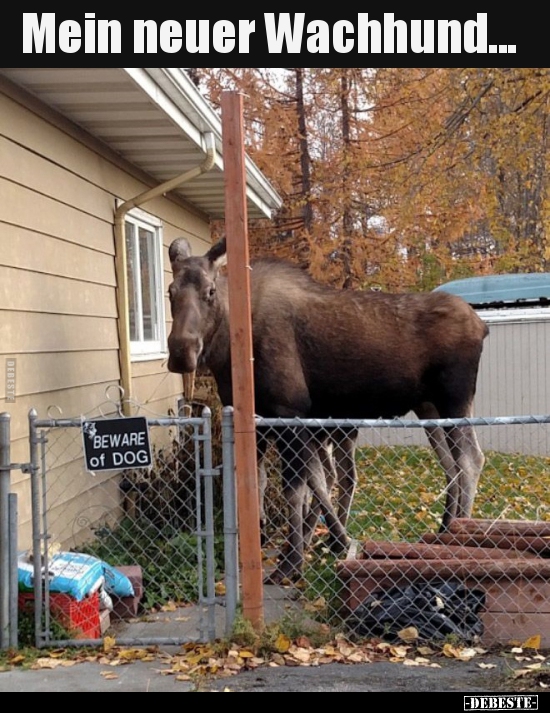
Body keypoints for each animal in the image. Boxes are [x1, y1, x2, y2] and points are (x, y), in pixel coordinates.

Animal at [166, 236, 490, 580]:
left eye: (210, 291)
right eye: (170, 291)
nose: (181, 352)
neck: (229, 352)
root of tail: (481, 326)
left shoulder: (289, 413)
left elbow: (297, 489)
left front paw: (292, 562)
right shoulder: (261, 422)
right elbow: (268, 482)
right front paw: (283, 540)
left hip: (454, 400)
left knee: (471, 460)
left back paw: (458, 537)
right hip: (429, 409)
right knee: (450, 466)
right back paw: (443, 530)